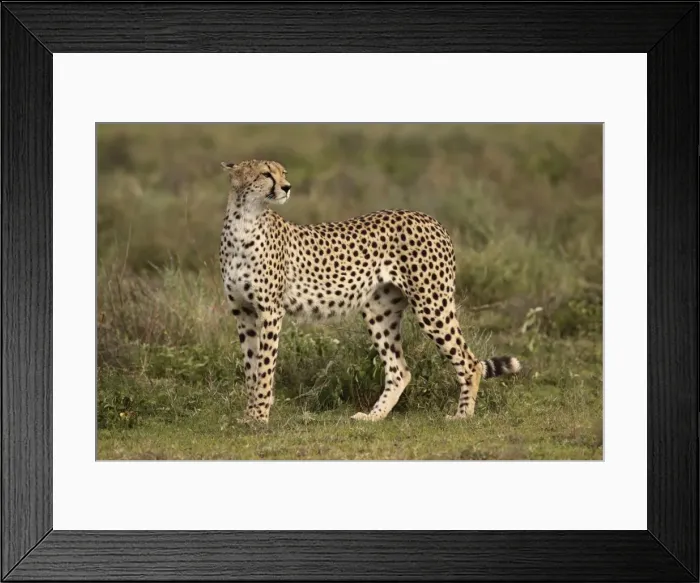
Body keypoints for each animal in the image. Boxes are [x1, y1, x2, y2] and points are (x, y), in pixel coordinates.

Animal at [218, 159, 521, 424]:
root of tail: (429, 218)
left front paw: (259, 417)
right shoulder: (243, 312)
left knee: (470, 362)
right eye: (266, 174)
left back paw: (463, 415)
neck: (245, 221)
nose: (287, 187)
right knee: (400, 370)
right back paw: (373, 417)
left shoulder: (271, 310)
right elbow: (251, 366)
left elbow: (264, 367)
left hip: (431, 304)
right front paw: (249, 415)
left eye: (283, 172)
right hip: (380, 311)